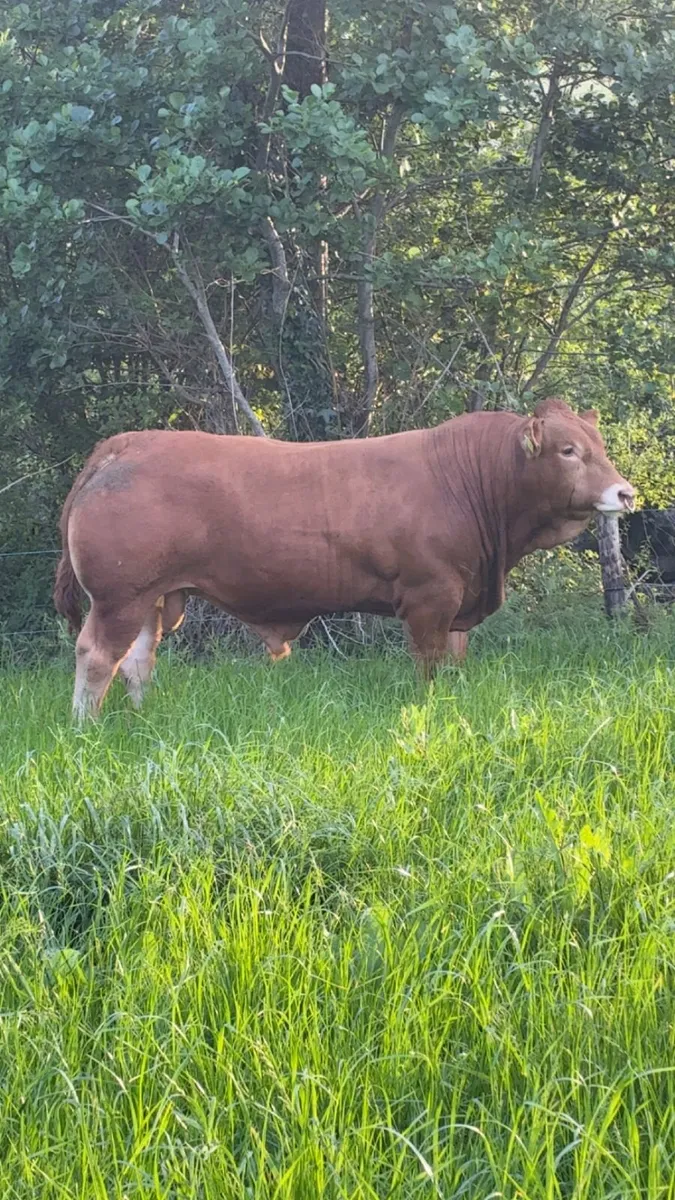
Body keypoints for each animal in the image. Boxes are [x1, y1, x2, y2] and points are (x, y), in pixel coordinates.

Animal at [54, 397, 634, 721]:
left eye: (600, 445)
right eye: (567, 451)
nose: (626, 493)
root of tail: (126, 443)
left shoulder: (458, 601)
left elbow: (454, 663)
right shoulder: (430, 596)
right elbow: (428, 667)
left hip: (152, 597)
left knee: (137, 661)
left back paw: (140, 719)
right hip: (119, 595)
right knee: (96, 655)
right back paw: (86, 727)